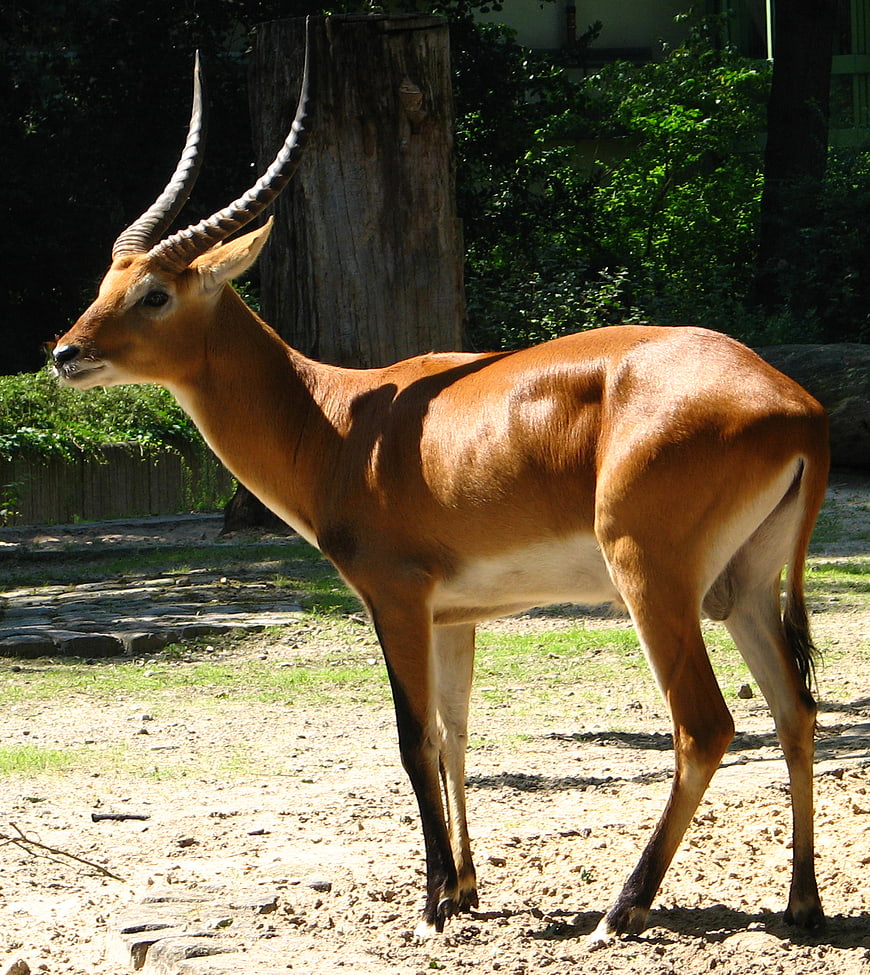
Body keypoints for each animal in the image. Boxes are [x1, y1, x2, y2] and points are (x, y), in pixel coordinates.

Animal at [52, 25, 829, 945]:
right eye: (105, 282)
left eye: (154, 293)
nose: (64, 352)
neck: (340, 422)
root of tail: (799, 407)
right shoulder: (456, 614)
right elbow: (459, 733)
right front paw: (463, 887)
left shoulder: (395, 596)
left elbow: (412, 736)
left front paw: (430, 903)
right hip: (742, 585)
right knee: (796, 710)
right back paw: (803, 903)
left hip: (653, 579)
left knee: (705, 725)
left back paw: (621, 908)